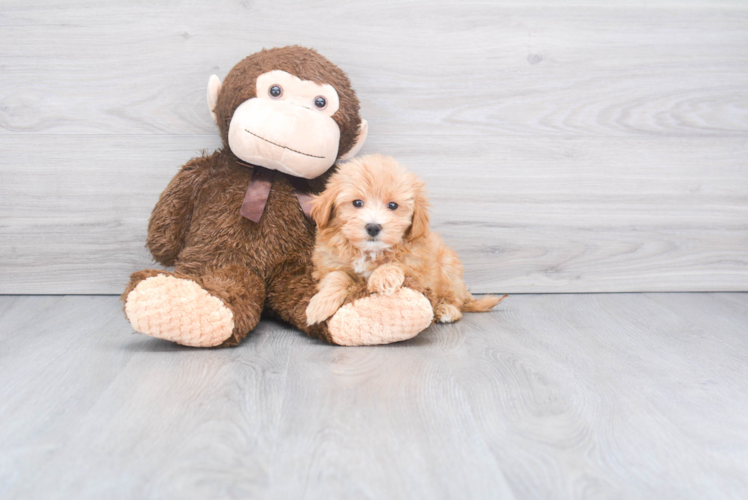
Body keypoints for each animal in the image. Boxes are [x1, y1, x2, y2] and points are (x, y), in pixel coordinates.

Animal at [306, 154, 508, 326]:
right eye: (357, 203)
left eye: (392, 205)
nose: (373, 227)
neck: (370, 252)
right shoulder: (328, 264)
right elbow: (337, 276)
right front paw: (319, 305)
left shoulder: (419, 270)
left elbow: (399, 264)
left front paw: (382, 277)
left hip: (449, 268)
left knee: (456, 300)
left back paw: (447, 310)